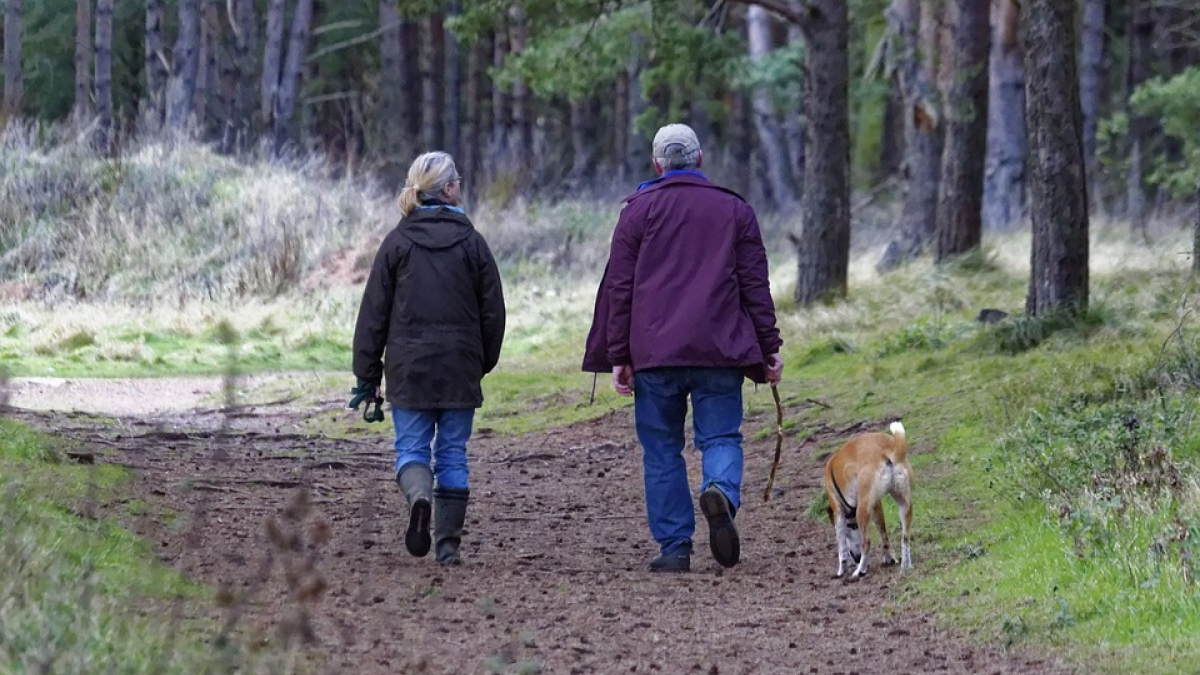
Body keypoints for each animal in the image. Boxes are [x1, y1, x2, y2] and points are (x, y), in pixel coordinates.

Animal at [820, 420, 912, 578]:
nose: (856, 558)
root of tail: (886, 449)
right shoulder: (876, 505)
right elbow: (884, 536)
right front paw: (889, 559)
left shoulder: (838, 512)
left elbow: (842, 548)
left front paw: (841, 570)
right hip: (904, 504)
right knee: (905, 538)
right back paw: (906, 567)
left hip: (862, 511)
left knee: (866, 543)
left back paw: (859, 571)